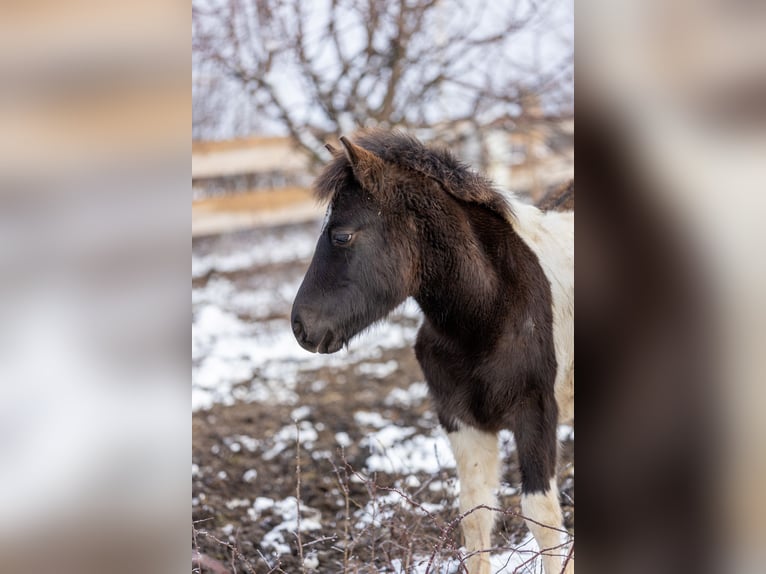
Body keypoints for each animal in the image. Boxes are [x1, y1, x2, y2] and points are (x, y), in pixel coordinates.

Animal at [292, 130, 572, 574]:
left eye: (341, 235)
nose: (300, 326)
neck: (489, 313)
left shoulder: (536, 414)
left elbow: (543, 520)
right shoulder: (461, 421)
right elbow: (474, 516)